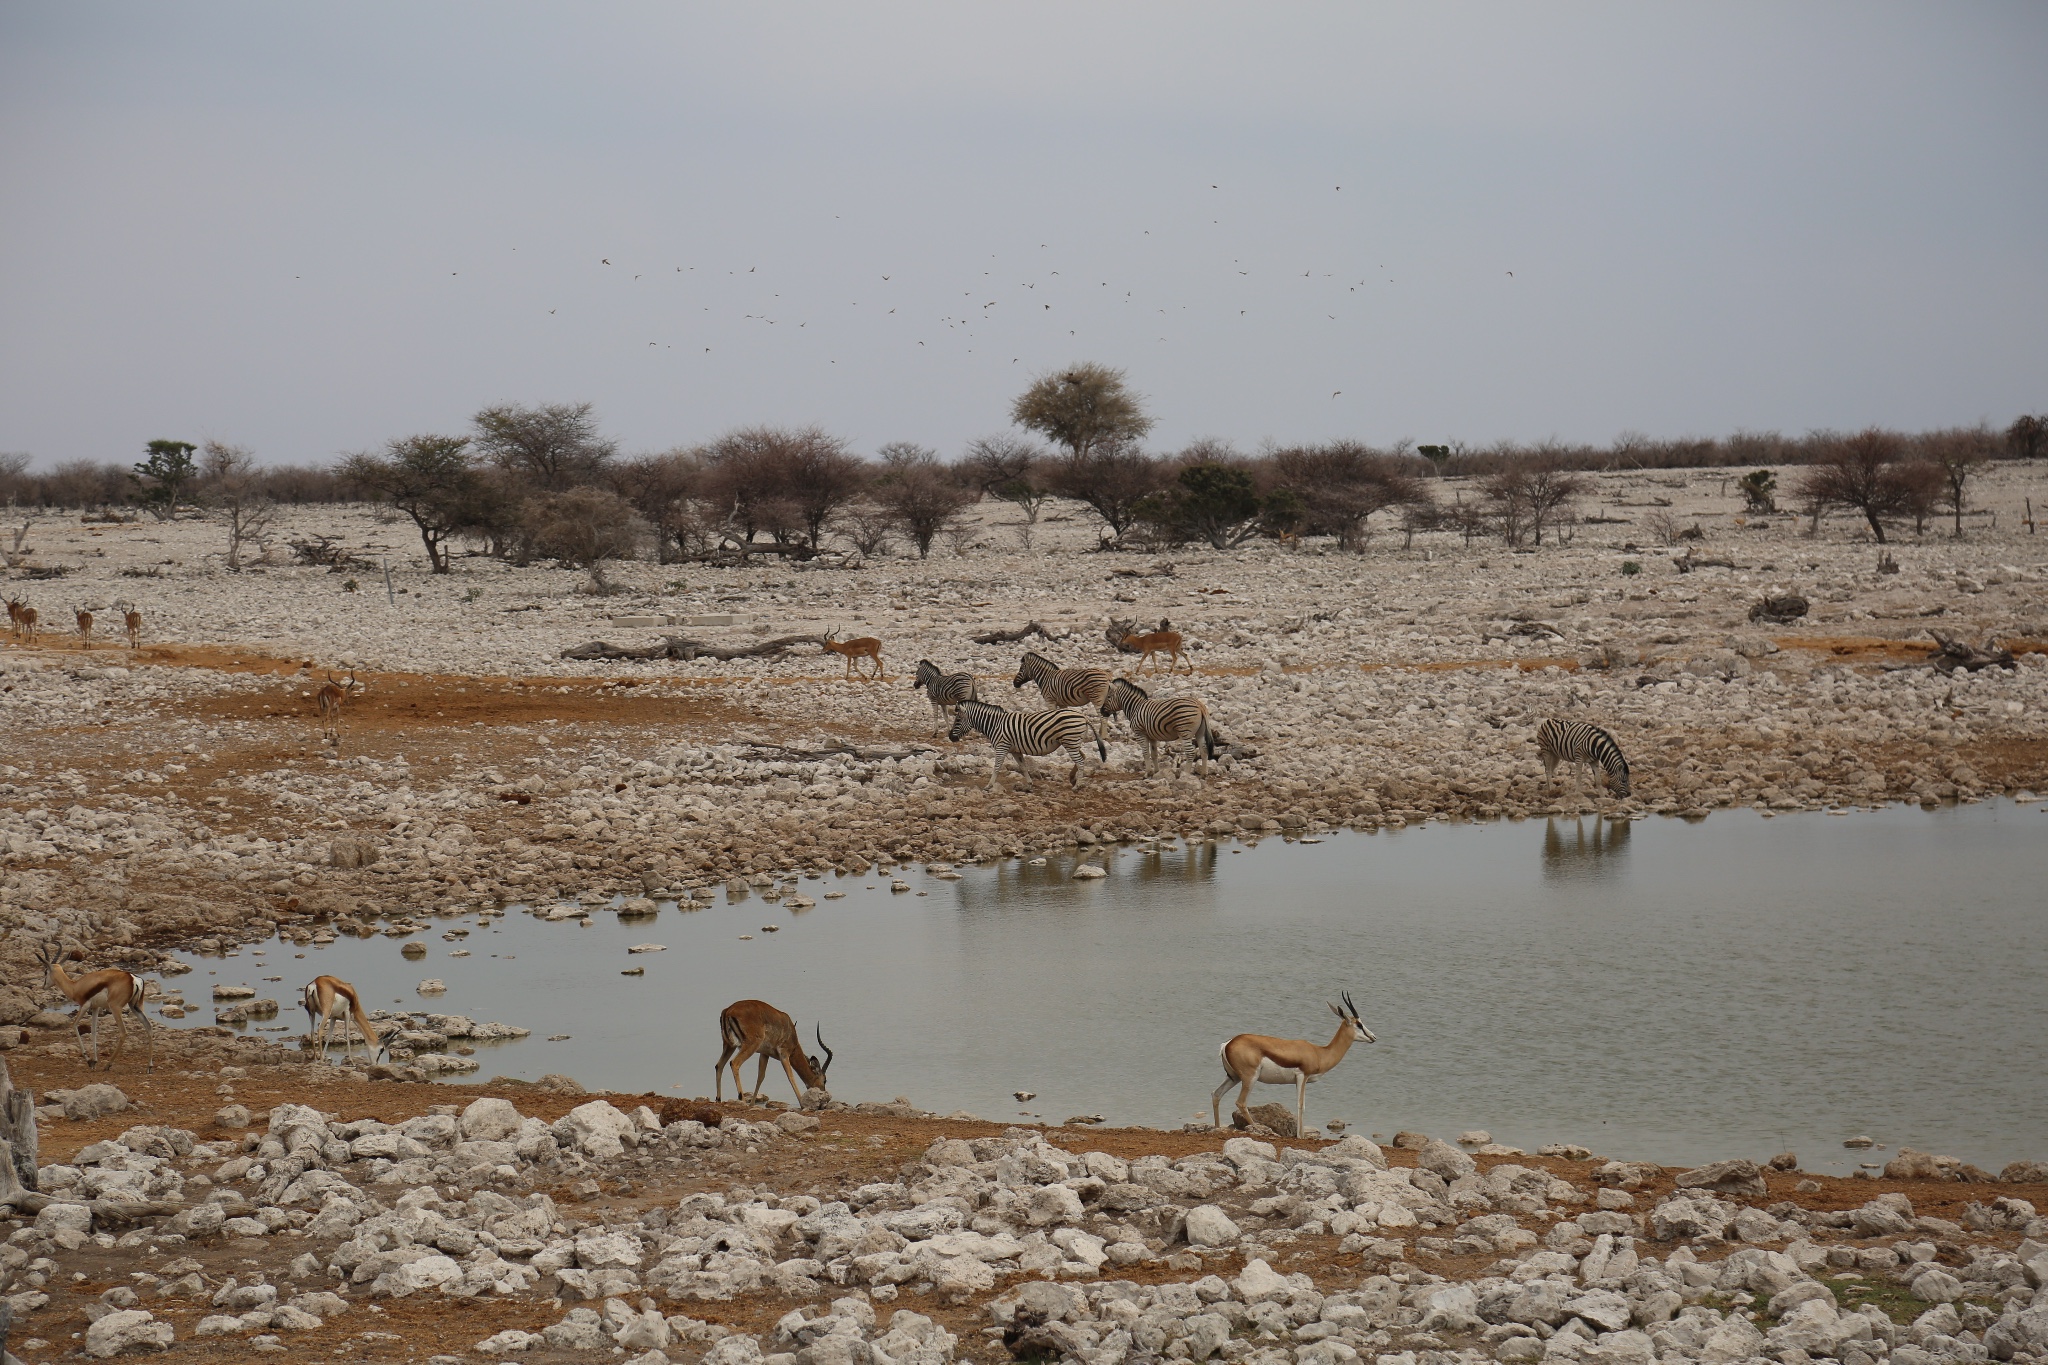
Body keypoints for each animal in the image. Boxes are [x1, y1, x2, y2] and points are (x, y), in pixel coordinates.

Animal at [950, 703, 1114, 789]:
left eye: (957, 720)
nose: (950, 737)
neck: (995, 725)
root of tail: (1083, 716)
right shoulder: (1015, 750)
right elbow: (1023, 767)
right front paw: (1029, 784)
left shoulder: (1002, 746)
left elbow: (996, 766)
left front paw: (989, 785)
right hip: (1073, 741)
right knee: (1083, 757)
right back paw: (1073, 779)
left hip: (1070, 741)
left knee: (1080, 761)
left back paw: (1077, 785)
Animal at [1212, 994, 1376, 1146]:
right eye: (1359, 1024)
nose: (1373, 1037)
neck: (1319, 1053)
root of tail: (1228, 1043)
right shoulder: (1302, 1076)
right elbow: (1301, 1105)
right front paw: (1300, 1136)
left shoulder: (1300, 1080)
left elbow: (1301, 1105)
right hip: (1250, 1078)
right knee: (1241, 1102)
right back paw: (1259, 1129)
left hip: (1234, 1077)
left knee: (1216, 1094)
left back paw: (1217, 1127)